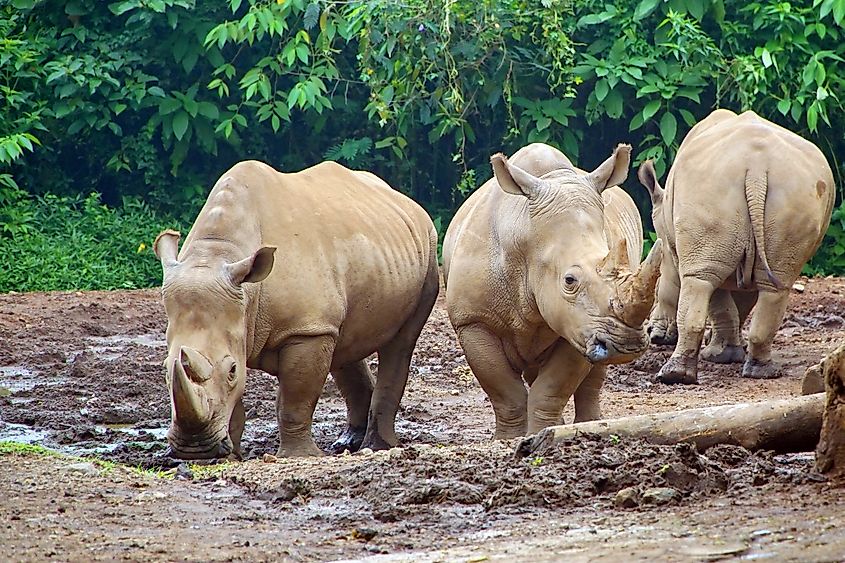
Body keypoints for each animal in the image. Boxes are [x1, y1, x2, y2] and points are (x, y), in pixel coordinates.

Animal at [153, 160, 439, 458]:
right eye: (164, 369)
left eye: (231, 369)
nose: (193, 449)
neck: (218, 253)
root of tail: (403, 199)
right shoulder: (252, 319)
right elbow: (236, 401)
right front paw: (231, 455)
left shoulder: (305, 329)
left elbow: (295, 399)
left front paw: (298, 455)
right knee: (344, 342)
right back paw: (347, 443)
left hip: (427, 252)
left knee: (400, 343)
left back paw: (376, 446)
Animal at [442, 143, 662, 439]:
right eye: (569, 280)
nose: (627, 345)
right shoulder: (473, 321)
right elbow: (505, 392)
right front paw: (509, 439)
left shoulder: (578, 325)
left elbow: (551, 389)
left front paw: (541, 434)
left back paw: (587, 425)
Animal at [638, 109, 835, 384]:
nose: (653, 336)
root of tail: (756, 167)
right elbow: (741, 301)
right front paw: (729, 351)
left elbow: (718, 299)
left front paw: (719, 354)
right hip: (794, 191)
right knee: (775, 285)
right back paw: (761, 372)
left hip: (710, 187)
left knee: (701, 280)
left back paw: (675, 375)